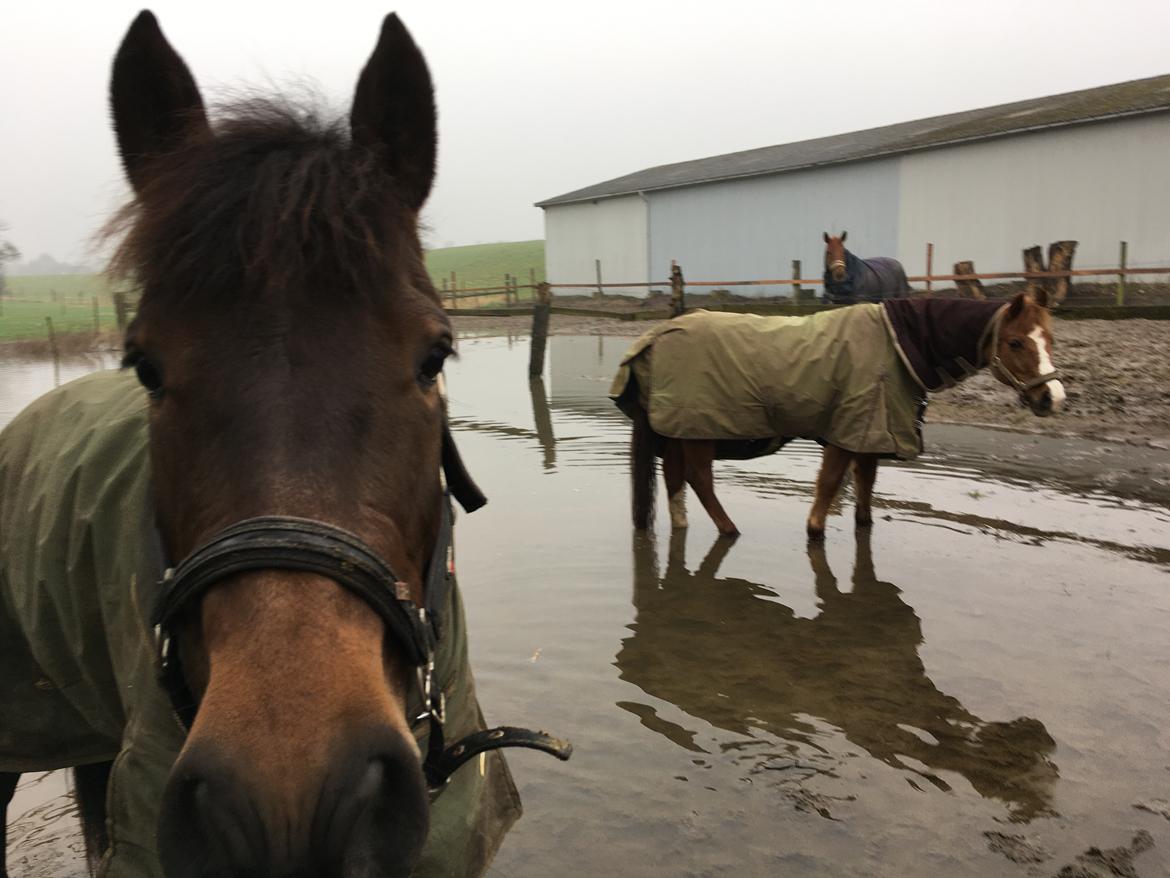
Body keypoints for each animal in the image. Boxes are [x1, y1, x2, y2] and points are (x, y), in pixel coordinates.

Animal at [627, 290, 1067, 536]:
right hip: (697, 429)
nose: (1053, 398)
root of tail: (657, 335)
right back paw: (729, 531)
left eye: (1049, 338)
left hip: (680, 430)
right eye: (1015, 342)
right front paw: (815, 532)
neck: (896, 345)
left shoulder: (871, 435)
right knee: (699, 480)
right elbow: (827, 491)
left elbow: (865, 497)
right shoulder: (844, 433)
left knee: (675, 478)